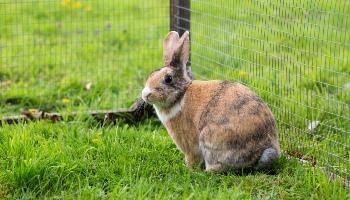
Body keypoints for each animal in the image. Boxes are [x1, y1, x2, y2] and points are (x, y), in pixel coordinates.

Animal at [141, 30, 280, 172]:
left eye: (168, 79)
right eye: (151, 74)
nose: (146, 94)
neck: (180, 95)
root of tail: (263, 150)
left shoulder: (189, 144)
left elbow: (192, 157)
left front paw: (188, 168)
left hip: (210, 140)